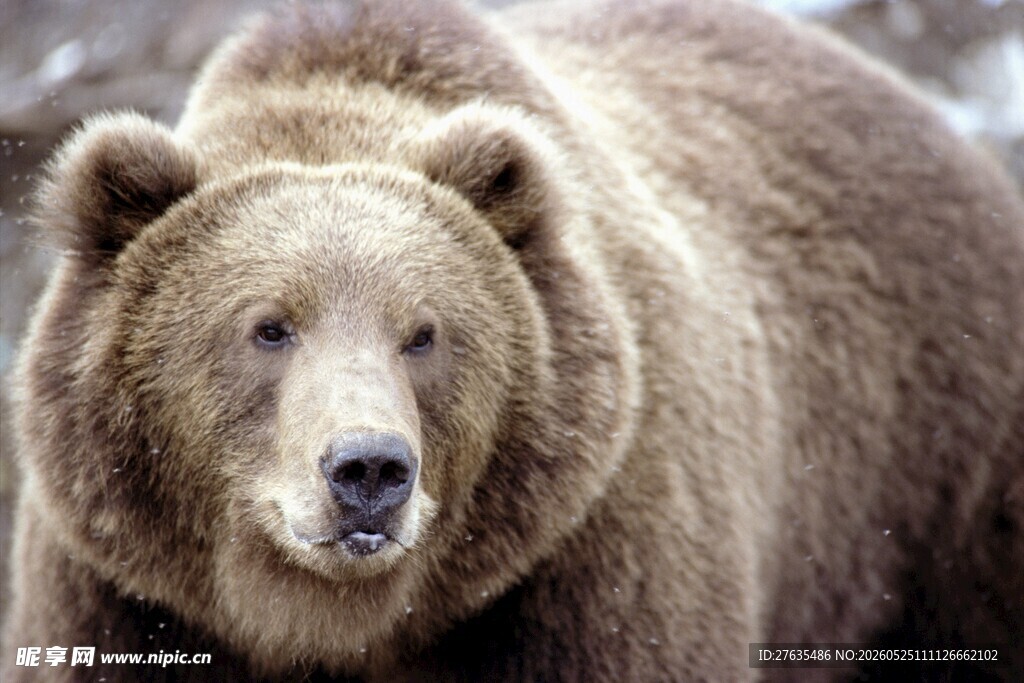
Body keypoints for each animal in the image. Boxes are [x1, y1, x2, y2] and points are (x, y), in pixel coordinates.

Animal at [3, 0, 1023, 680]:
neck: (334, 619)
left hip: (941, 480)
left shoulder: (588, 568)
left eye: (423, 333)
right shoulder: (122, 596)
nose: (368, 469)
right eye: (269, 326)